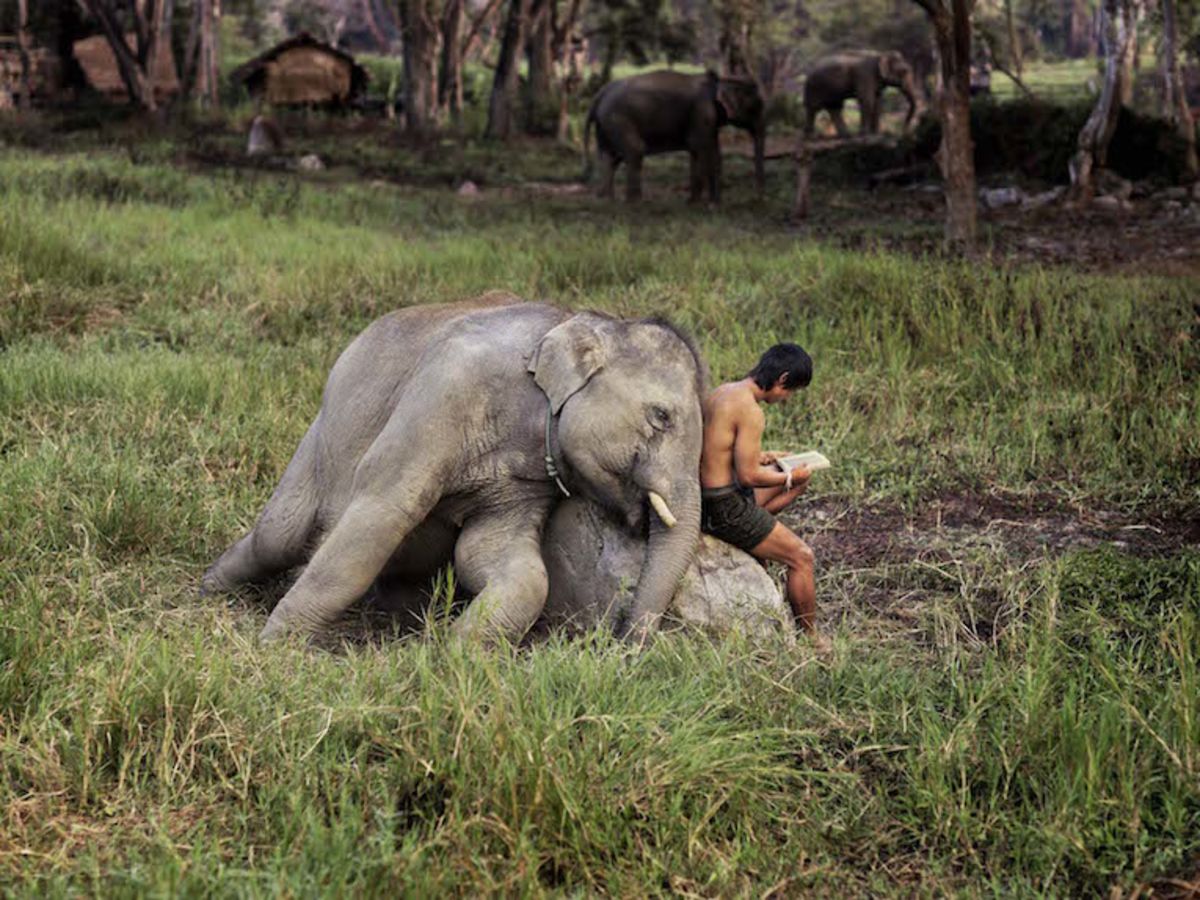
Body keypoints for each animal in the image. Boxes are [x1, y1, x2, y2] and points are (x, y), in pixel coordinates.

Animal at [202, 292, 705, 643]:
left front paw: (455, 653)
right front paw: (276, 646)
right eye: (661, 416)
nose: (622, 643)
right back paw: (211, 587)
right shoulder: (447, 389)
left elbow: (502, 559)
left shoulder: (526, 480)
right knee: (280, 536)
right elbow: (383, 512)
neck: (570, 319)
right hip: (319, 437)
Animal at [583, 70, 768, 204]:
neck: (719, 80)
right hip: (618, 120)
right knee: (634, 151)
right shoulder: (702, 113)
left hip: (606, 125)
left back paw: (608, 201)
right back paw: (635, 203)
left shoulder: (708, 120)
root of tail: (600, 94)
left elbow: (708, 152)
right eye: (757, 106)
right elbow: (703, 149)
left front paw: (699, 203)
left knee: (610, 157)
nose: (757, 199)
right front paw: (707, 205)